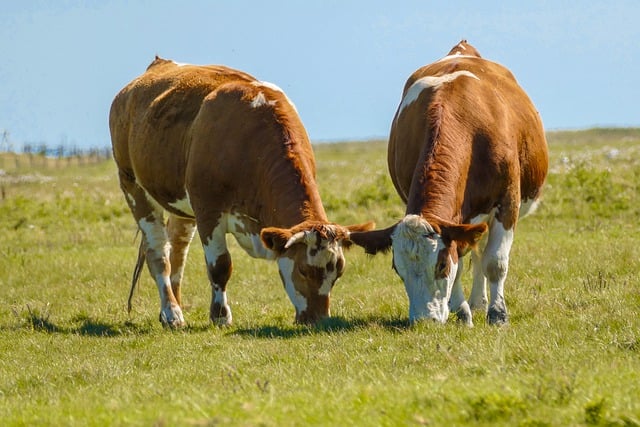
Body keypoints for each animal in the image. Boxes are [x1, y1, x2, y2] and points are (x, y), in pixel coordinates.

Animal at [107, 56, 372, 328]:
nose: (319, 320)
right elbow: (220, 266)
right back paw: (172, 313)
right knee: (159, 254)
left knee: (177, 253)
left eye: (338, 273)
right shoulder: (208, 210)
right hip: (133, 187)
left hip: (180, 207)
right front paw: (220, 315)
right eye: (303, 270)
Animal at [348, 41, 548, 328]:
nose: (424, 320)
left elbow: (496, 262)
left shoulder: (507, 203)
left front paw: (498, 315)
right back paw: (476, 303)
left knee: (483, 255)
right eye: (398, 270)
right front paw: (462, 312)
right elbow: (462, 263)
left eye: (441, 265)